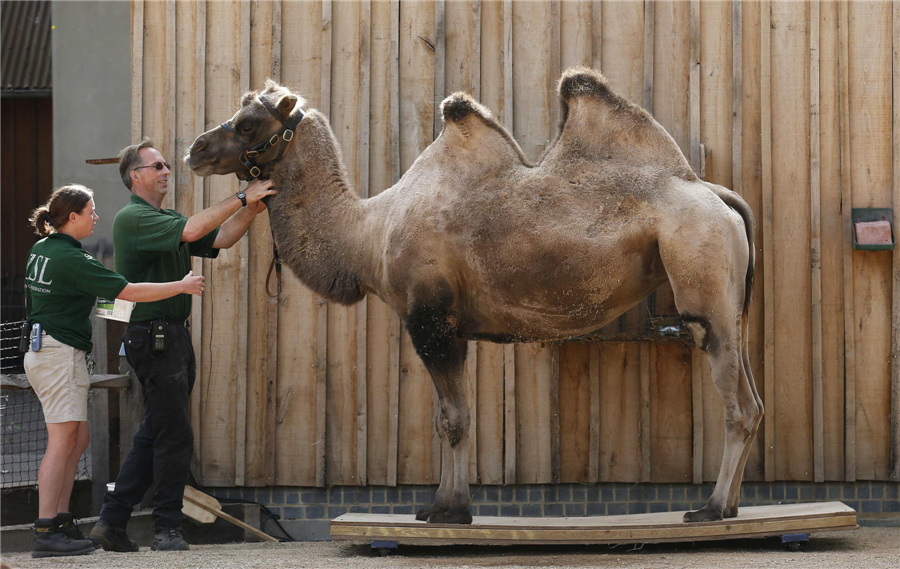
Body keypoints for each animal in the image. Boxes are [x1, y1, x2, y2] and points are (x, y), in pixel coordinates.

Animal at [188, 69, 760, 524]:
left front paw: (451, 511)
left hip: (700, 269)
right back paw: (730, 506)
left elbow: (454, 420)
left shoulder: (429, 318)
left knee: (735, 402)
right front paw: (438, 506)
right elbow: (449, 420)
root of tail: (718, 195)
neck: (368, 234)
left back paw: (709, 510)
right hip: (732, 303)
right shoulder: (448, 326)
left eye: (247, 124)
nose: (195, 150)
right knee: (750, 397)